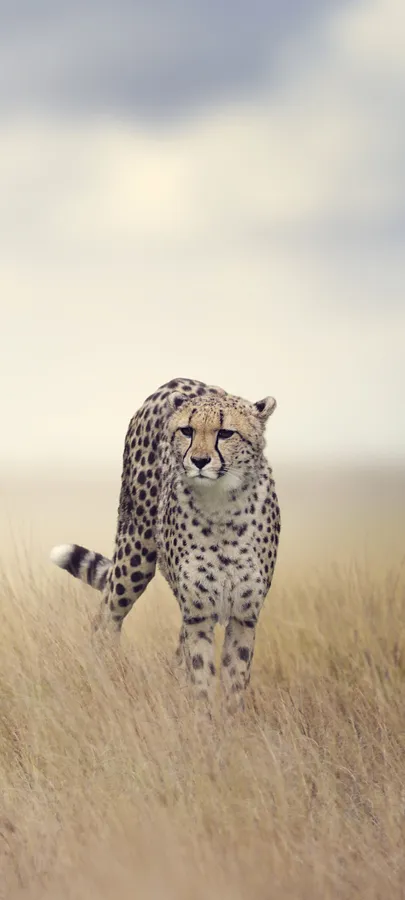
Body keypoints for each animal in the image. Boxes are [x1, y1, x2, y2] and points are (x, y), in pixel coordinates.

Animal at [51, 377, 281, 710]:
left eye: (226, 433)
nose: (199, 461)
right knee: (105, 619)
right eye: (187, 430)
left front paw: (230, 720)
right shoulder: (198, 614)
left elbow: (233, 682)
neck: (221, 505)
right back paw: (102, 680)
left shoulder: (243, 616)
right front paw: (202, 719)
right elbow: (201, 676)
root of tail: (176, 381)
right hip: (135, 557)